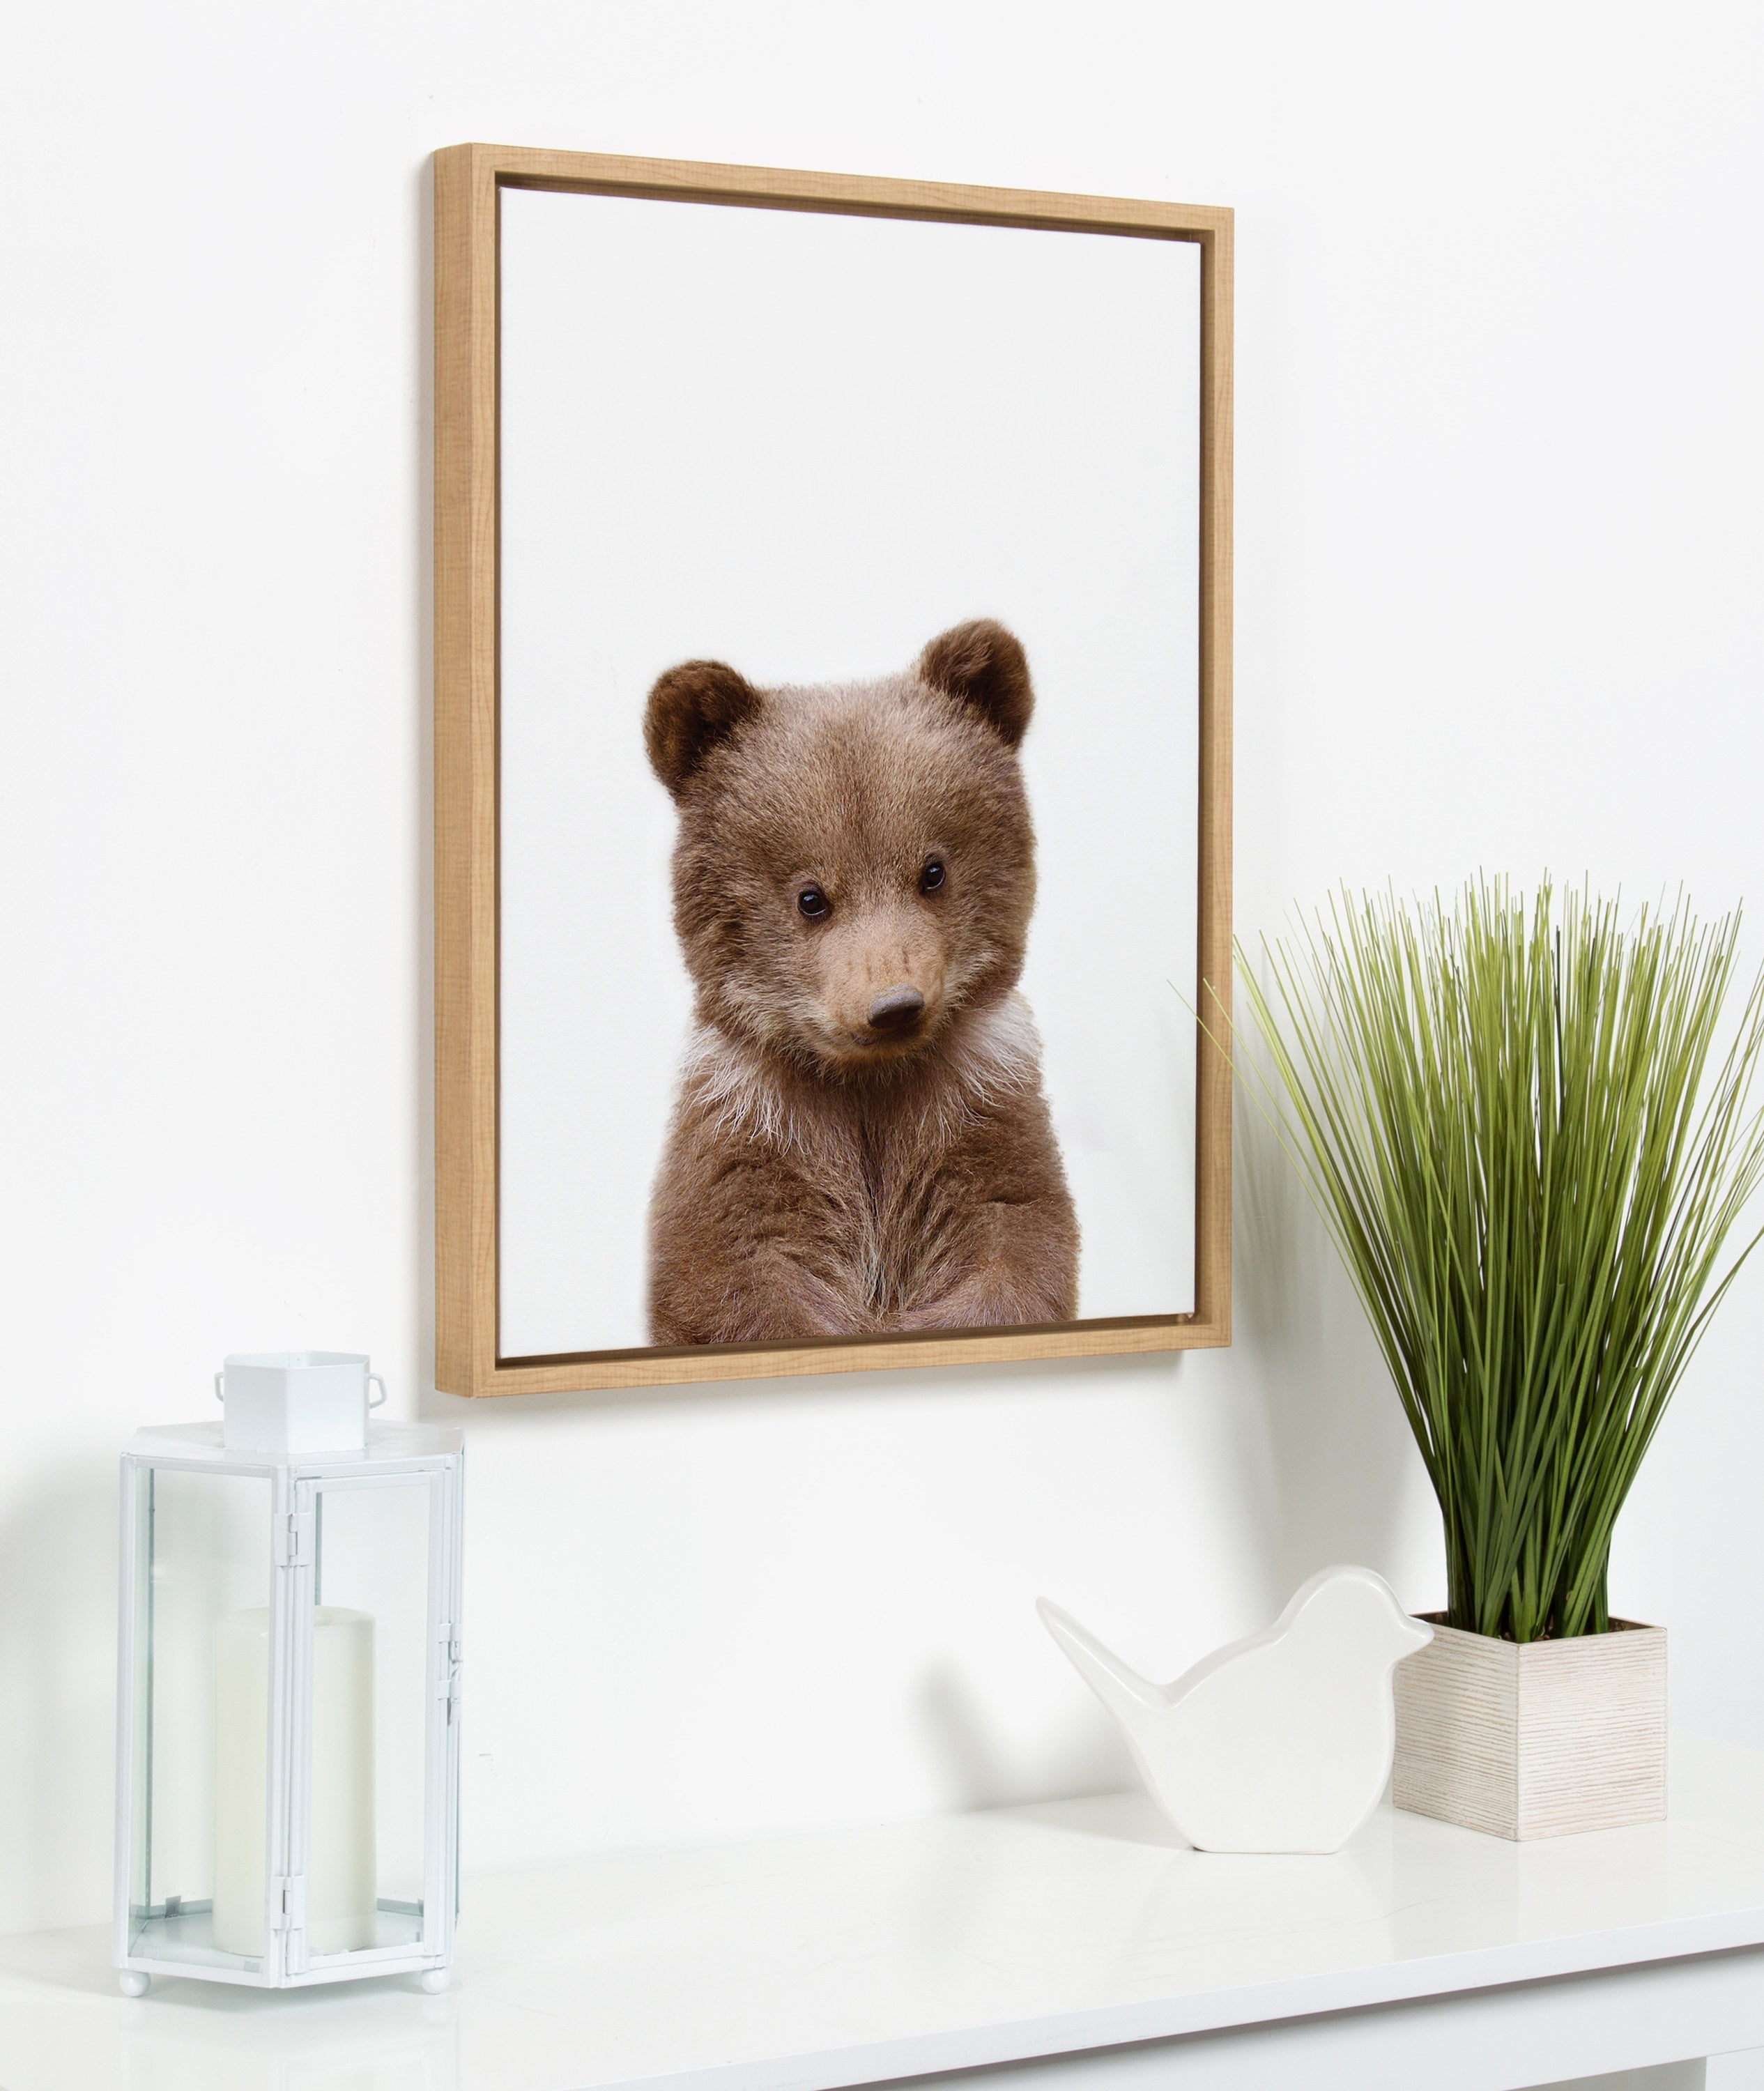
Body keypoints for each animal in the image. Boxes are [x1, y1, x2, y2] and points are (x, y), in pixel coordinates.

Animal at [643, 618, 1080, 1347]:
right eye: (810, 897)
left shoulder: (978, 1107)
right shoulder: (754, 1129)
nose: (894, 1006)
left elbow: (1014, 1239)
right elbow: (735, 1274)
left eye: (932, 870)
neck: (866, 1085)